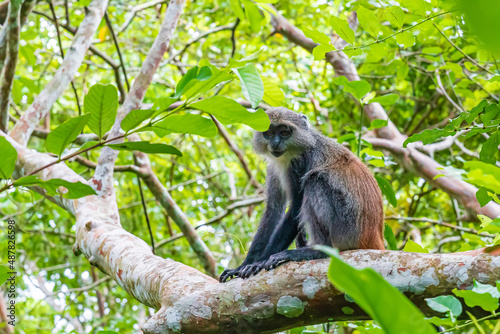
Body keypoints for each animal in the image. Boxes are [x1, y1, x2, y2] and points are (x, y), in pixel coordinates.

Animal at [217, 108, 384, 284]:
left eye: (284, 132)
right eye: (269, 132)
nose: (275, 143)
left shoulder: (299, 163)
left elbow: (295, 209)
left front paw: (259, 263)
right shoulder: (274, 166)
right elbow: (273, 210)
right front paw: (243, 266)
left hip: (348, 226)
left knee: (314, 182)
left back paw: (319, 251)